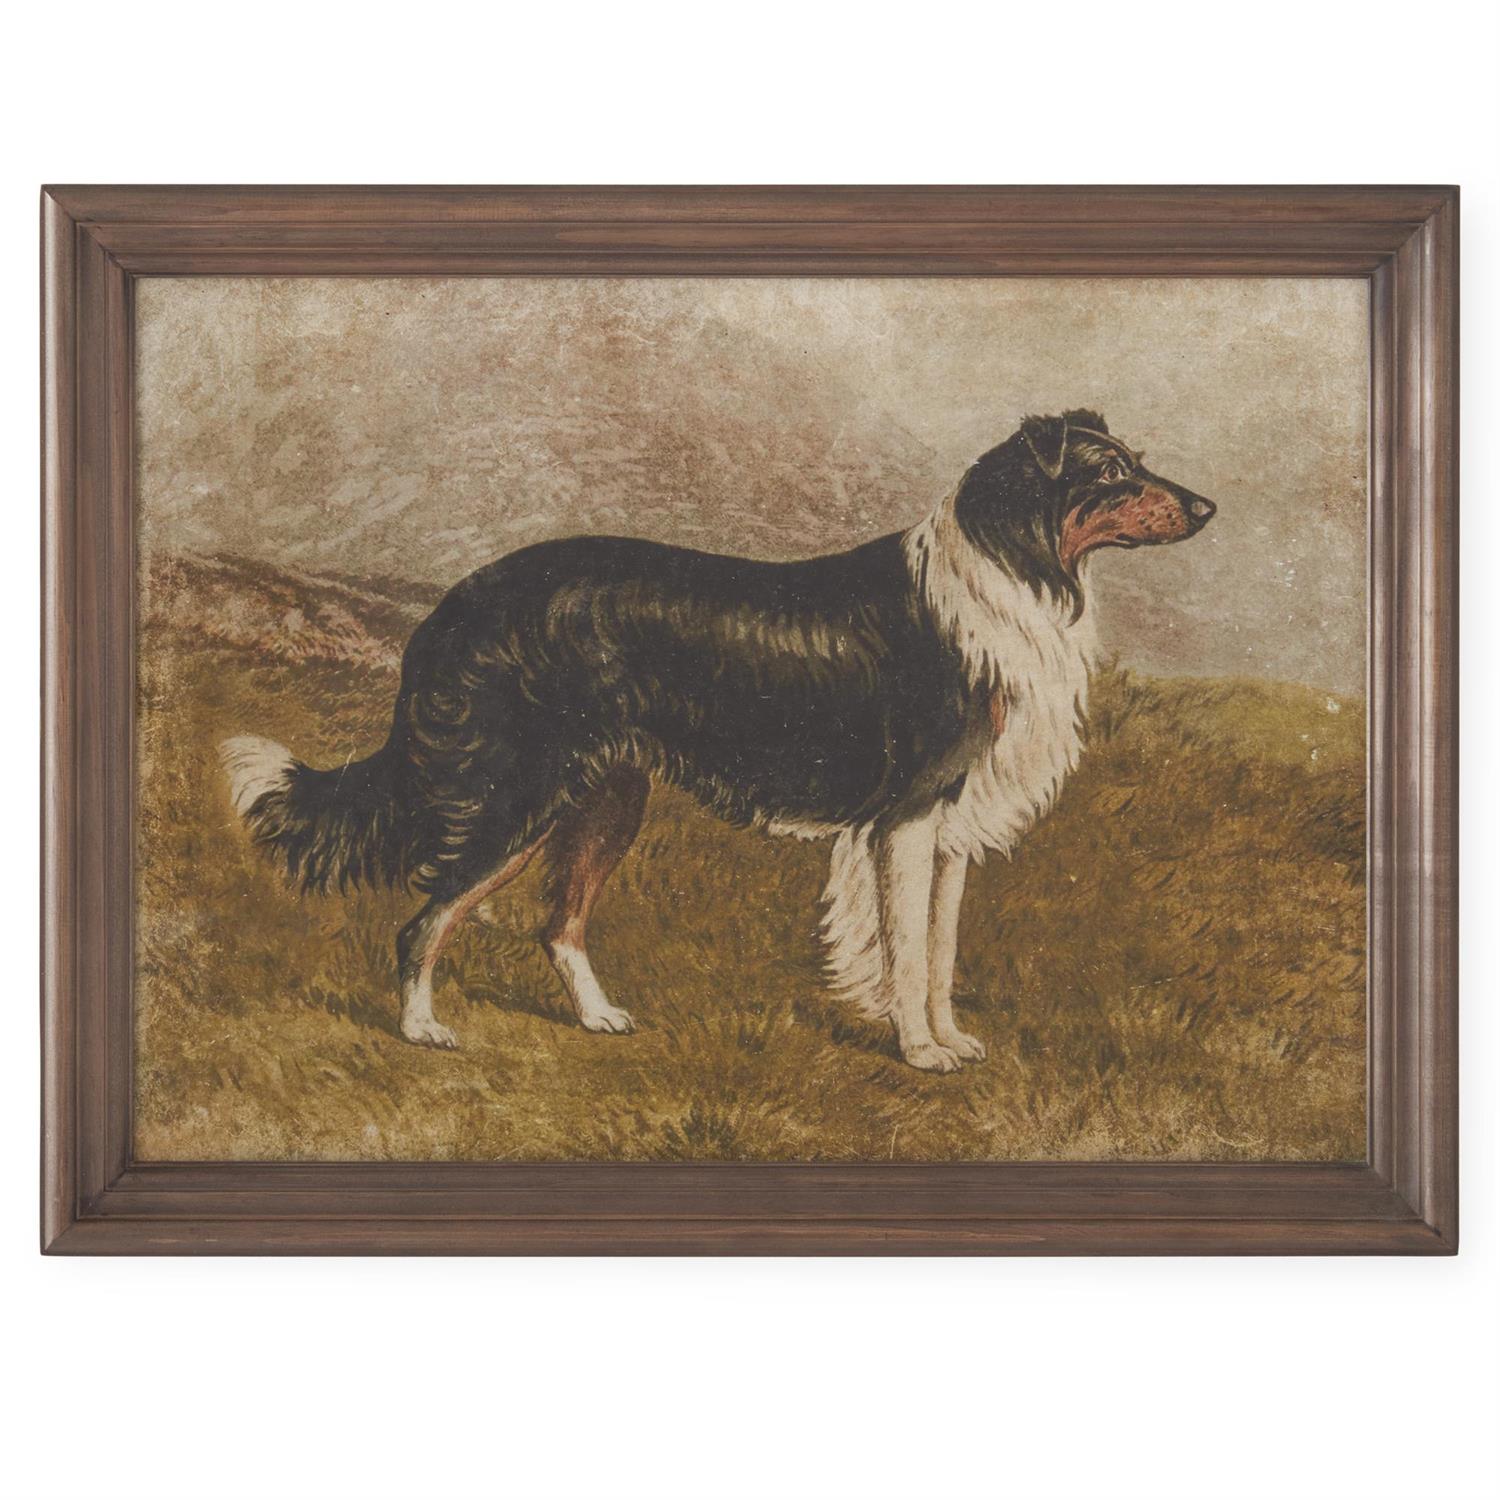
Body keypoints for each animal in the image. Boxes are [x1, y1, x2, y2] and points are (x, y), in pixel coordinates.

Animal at [222, 410, 1214, 1072]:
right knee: (426, 918)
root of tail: (455, 601)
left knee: (558, 922)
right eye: (1113, 473)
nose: (1206, 507)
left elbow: (938, 954)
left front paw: (952, 1039)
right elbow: (905, 952)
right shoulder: (908, 817)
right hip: (518, 798)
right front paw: (920, 1053)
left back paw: (598, 1019)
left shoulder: (949, 827)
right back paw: (422, 1030)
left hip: (607, 798)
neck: (1017, 567)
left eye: (1140, 462)